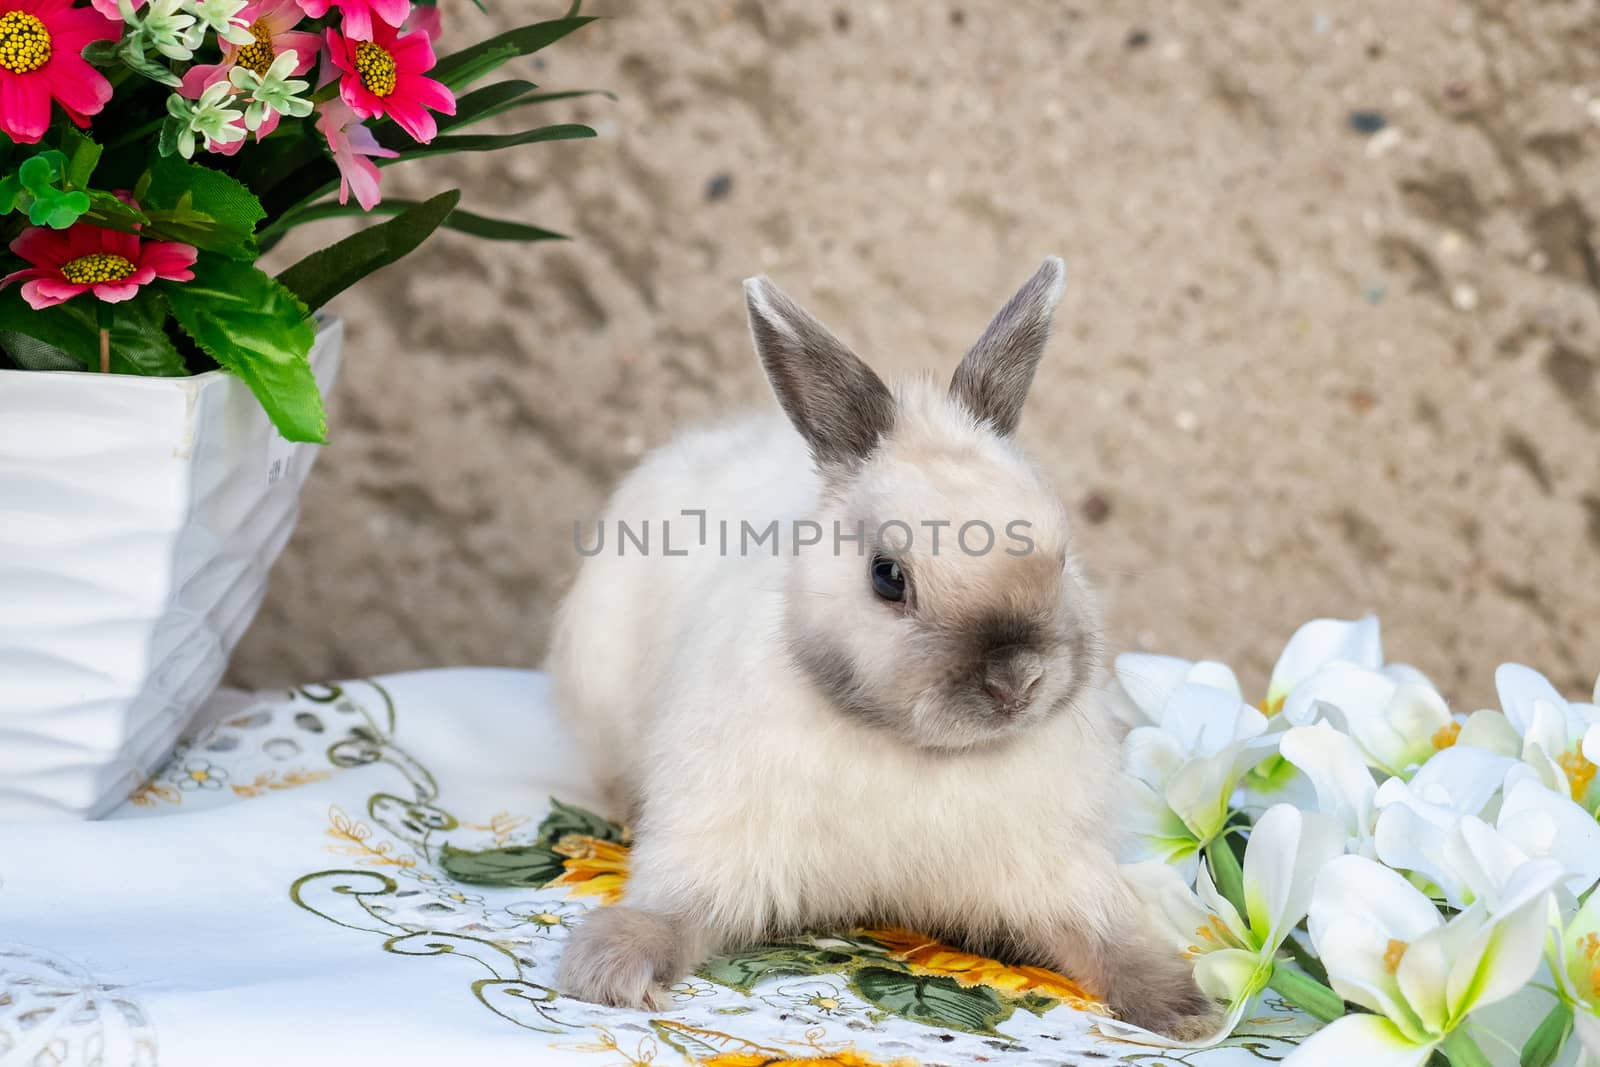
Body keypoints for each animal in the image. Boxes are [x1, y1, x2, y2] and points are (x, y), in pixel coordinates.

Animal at [544, 259, 1216, 1043]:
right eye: (888, 576)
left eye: (1061, 555)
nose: (1017, 681)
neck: (917, 753)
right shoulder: (716, 839)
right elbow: (674, 906)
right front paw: (614, 967)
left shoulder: (1057, 870)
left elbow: (1108, 933)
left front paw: (1184, 1008)